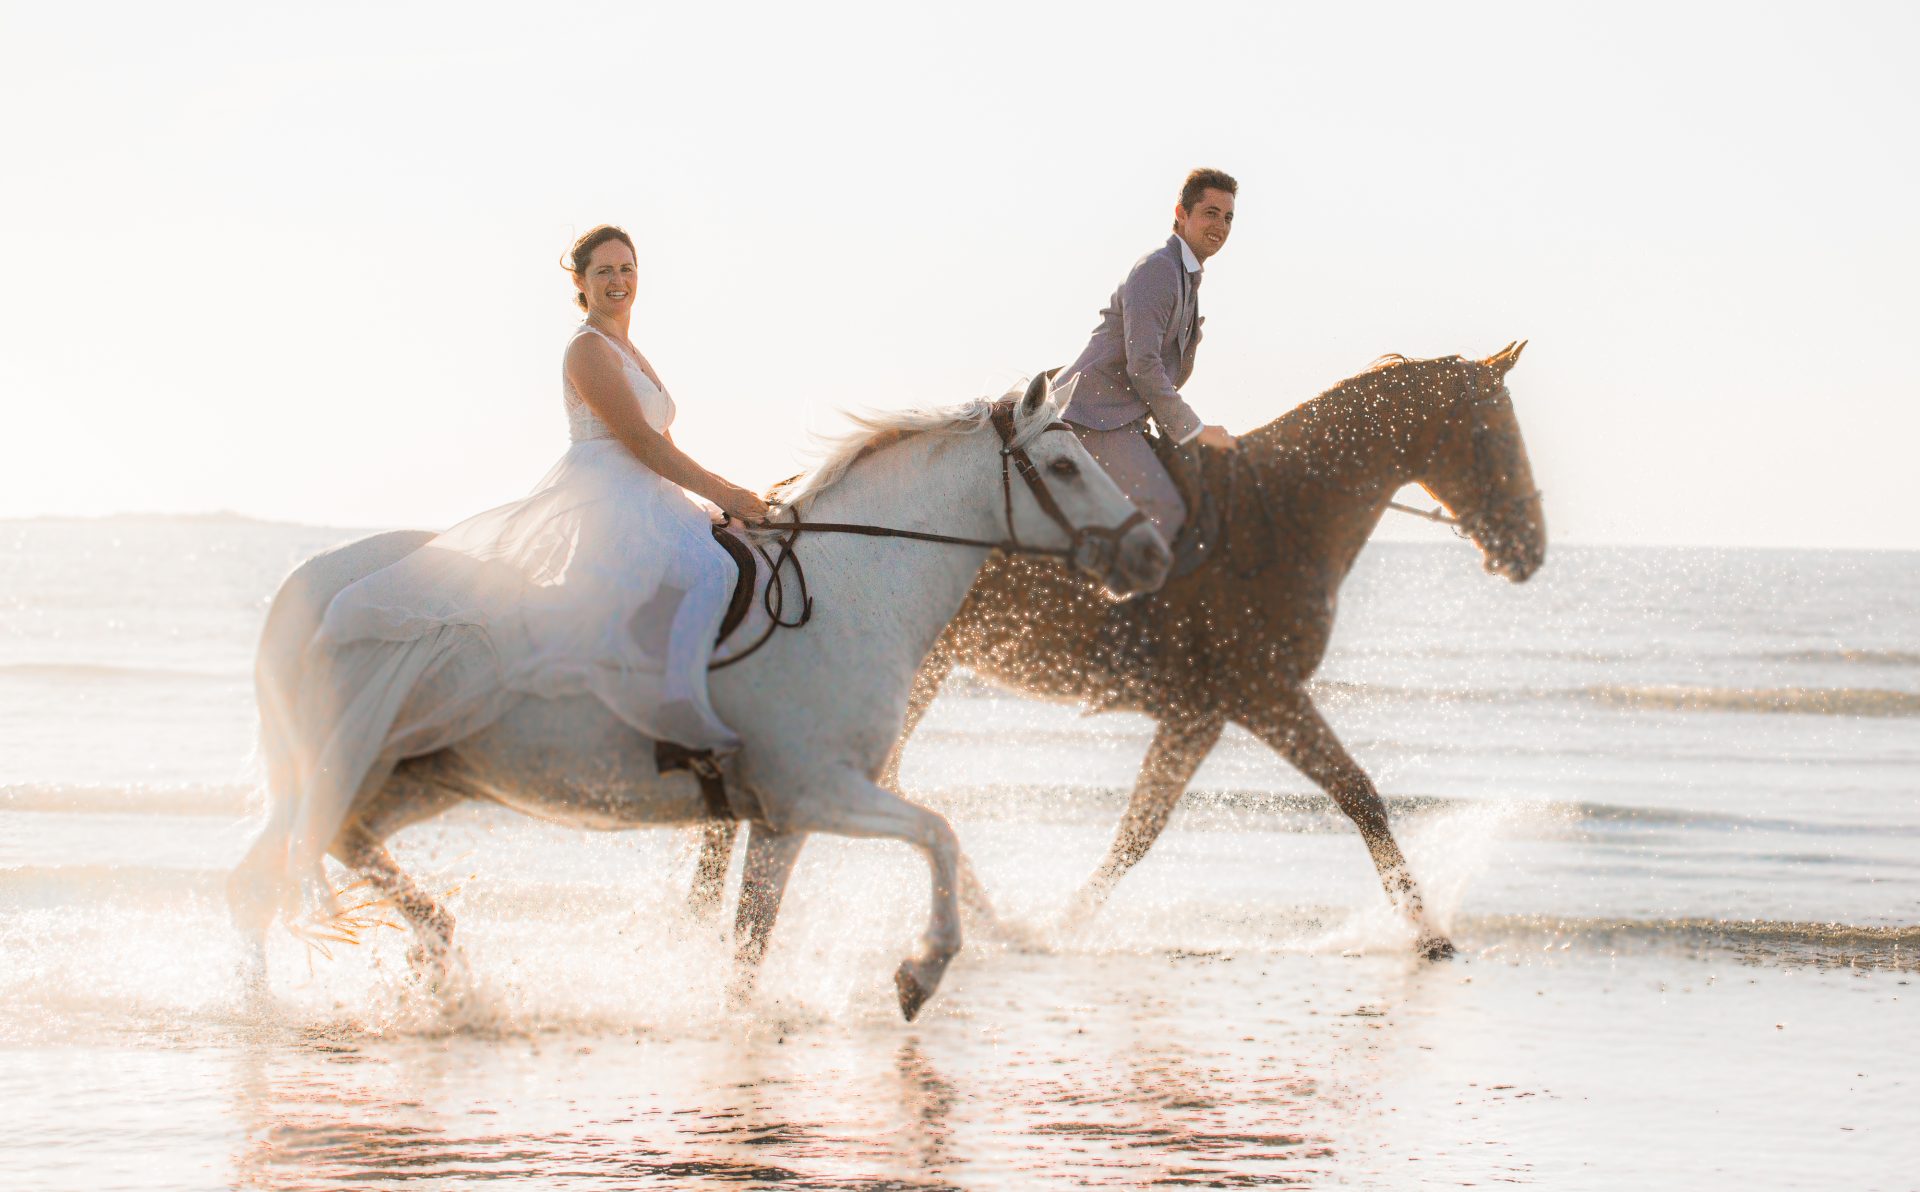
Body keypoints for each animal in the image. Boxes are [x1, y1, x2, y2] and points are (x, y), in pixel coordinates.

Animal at [234, 376, 1175, 1021]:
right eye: (1064, 465)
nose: (1154, 556)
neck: (852, 585)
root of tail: (307, 583)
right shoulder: (814, 791)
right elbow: (940, 836)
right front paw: (922, 971)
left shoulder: (780, 819)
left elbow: (752, 941)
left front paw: (747, 1023)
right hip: (361, 763)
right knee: (275, 869)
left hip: (417, 772)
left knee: (332, 850)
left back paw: (429, 954)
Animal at [698, 339, 1536, 963]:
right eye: (1492, 435)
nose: (1530, 548)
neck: (1283, 511)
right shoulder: (1263, 695)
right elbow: (1358, 793)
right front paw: (1428, 935)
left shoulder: (1200, 715)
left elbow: (1139, 829)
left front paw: (1060, 925)